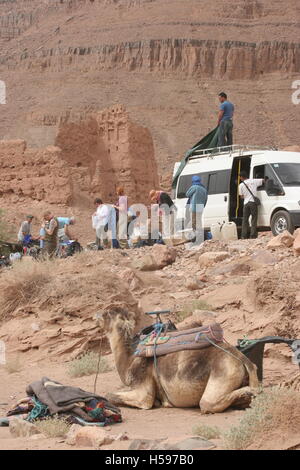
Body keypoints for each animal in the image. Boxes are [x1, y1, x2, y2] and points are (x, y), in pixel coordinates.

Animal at [99, 306, 258, 414]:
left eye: (107, 313)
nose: (97, 314)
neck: (129, 361)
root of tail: (242, 358)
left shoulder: (142, 386)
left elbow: (112, 396)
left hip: (224, 370)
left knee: (207, 403)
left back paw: (249, 392)